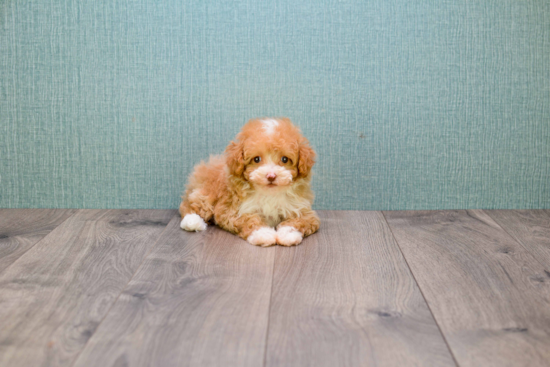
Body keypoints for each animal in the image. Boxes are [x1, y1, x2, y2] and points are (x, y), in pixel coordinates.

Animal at [179, 118, 322, 247]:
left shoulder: (303, 211)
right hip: (206, 192)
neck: (269, 194)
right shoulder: (232, 210)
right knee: (190, 204)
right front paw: (264, 234)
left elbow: (298, 221)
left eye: (285, 159)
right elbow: (250, 220)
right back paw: (192, 221)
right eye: (256, 159)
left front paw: (287, 235)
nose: (271, 176)